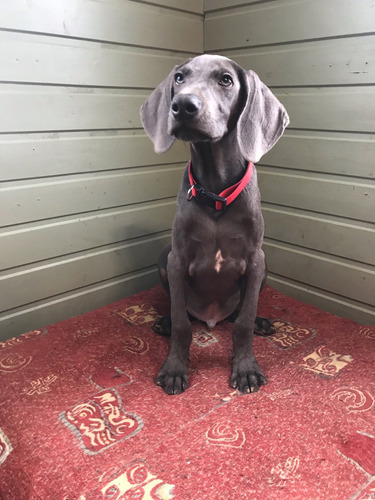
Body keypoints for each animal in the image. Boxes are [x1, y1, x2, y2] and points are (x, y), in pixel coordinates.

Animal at [140, 51, 290, 394]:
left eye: (226, 80)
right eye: (179, 77)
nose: (182, 105)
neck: (215, 192)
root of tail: (212, 317)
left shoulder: (255, 260)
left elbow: (244, 322)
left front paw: (246, 369)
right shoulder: (177, 260)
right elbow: (183, 324)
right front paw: (175, 369)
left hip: (265, 267)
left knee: (236, 316)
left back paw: (260, 322)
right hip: (163, 259)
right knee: (184, 313)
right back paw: (165, 322)